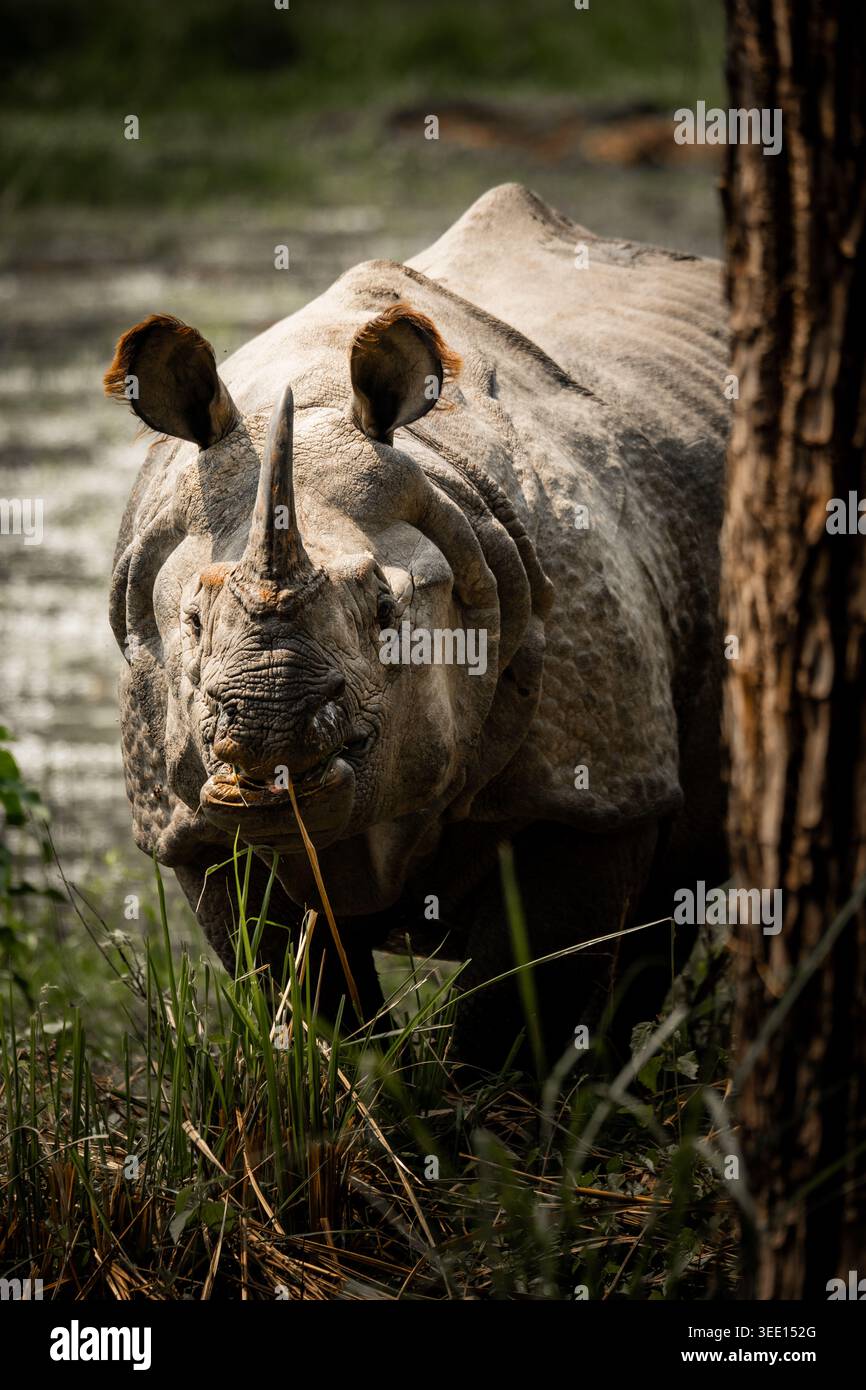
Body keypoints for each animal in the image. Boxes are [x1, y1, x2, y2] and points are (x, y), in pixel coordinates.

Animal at [105, 184, 728, 1070]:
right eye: (190, 617)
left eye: (387, 612)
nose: (263, 727)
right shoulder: (192, 819)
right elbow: (299, 980)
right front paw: (357, 1078)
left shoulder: (593, 790)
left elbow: (520, 1003)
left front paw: (482, 1102)